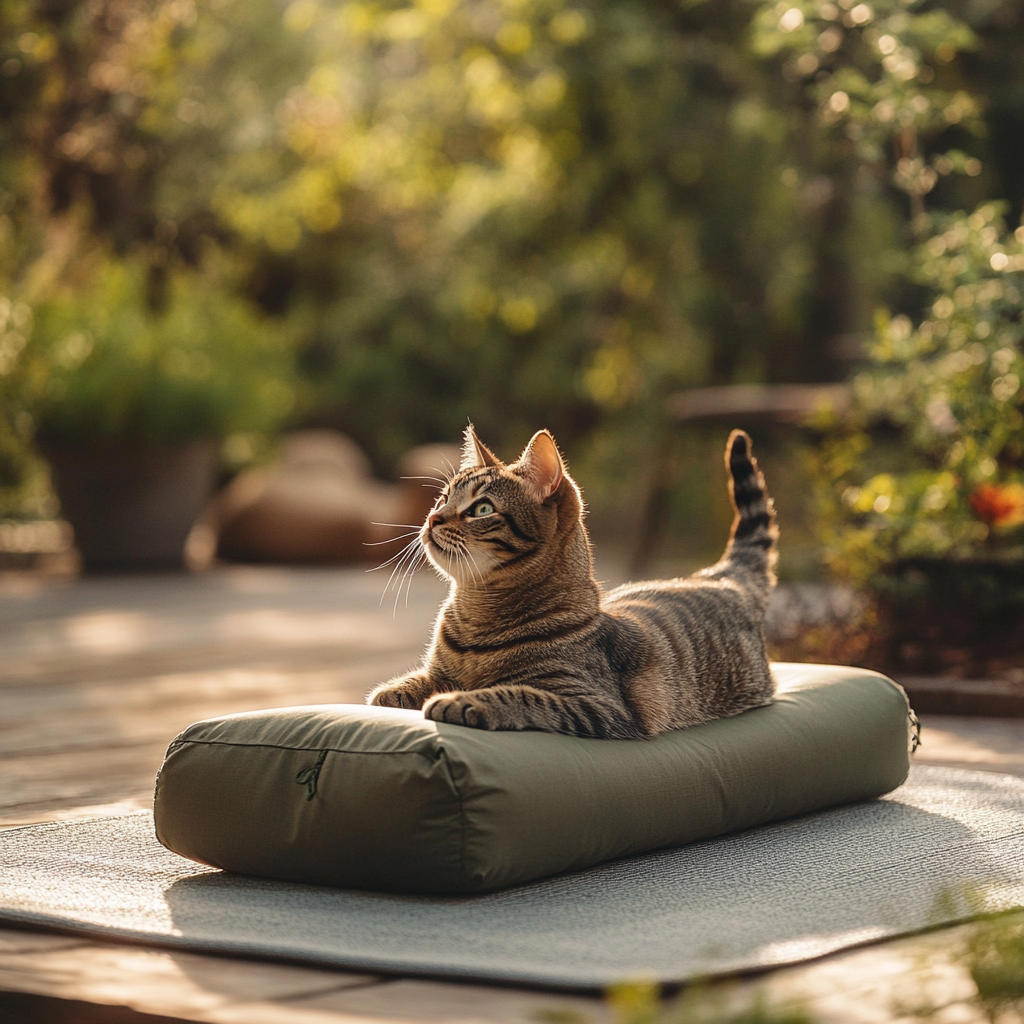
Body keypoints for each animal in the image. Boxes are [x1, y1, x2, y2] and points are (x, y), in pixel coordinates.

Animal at [372, 428, 778, 741]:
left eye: (482, 509)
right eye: (443, 498)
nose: (432, 518)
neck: (478, 611)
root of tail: (719, 577)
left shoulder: (597, 705)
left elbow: (520, 695)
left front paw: (463, 699)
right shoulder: (437, 672)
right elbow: (417, 680)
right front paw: (391, 692)